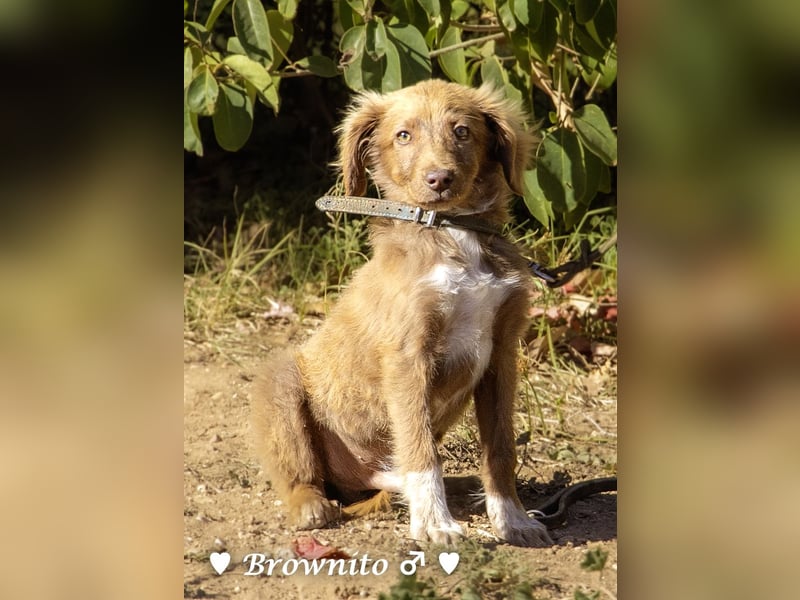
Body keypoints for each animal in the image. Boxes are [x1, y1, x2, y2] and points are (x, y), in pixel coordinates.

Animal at [253, 77, 552, 548]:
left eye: (462, 131)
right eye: (403, 135)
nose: (439, 179)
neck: (451, 231)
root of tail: (367, 479)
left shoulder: (502, 353)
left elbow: (501, 447)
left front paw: (512, 518)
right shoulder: (408, 356)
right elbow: (420, 447)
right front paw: (434, 523)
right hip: (281, 379)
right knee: (302, 474)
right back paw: (311, 506)